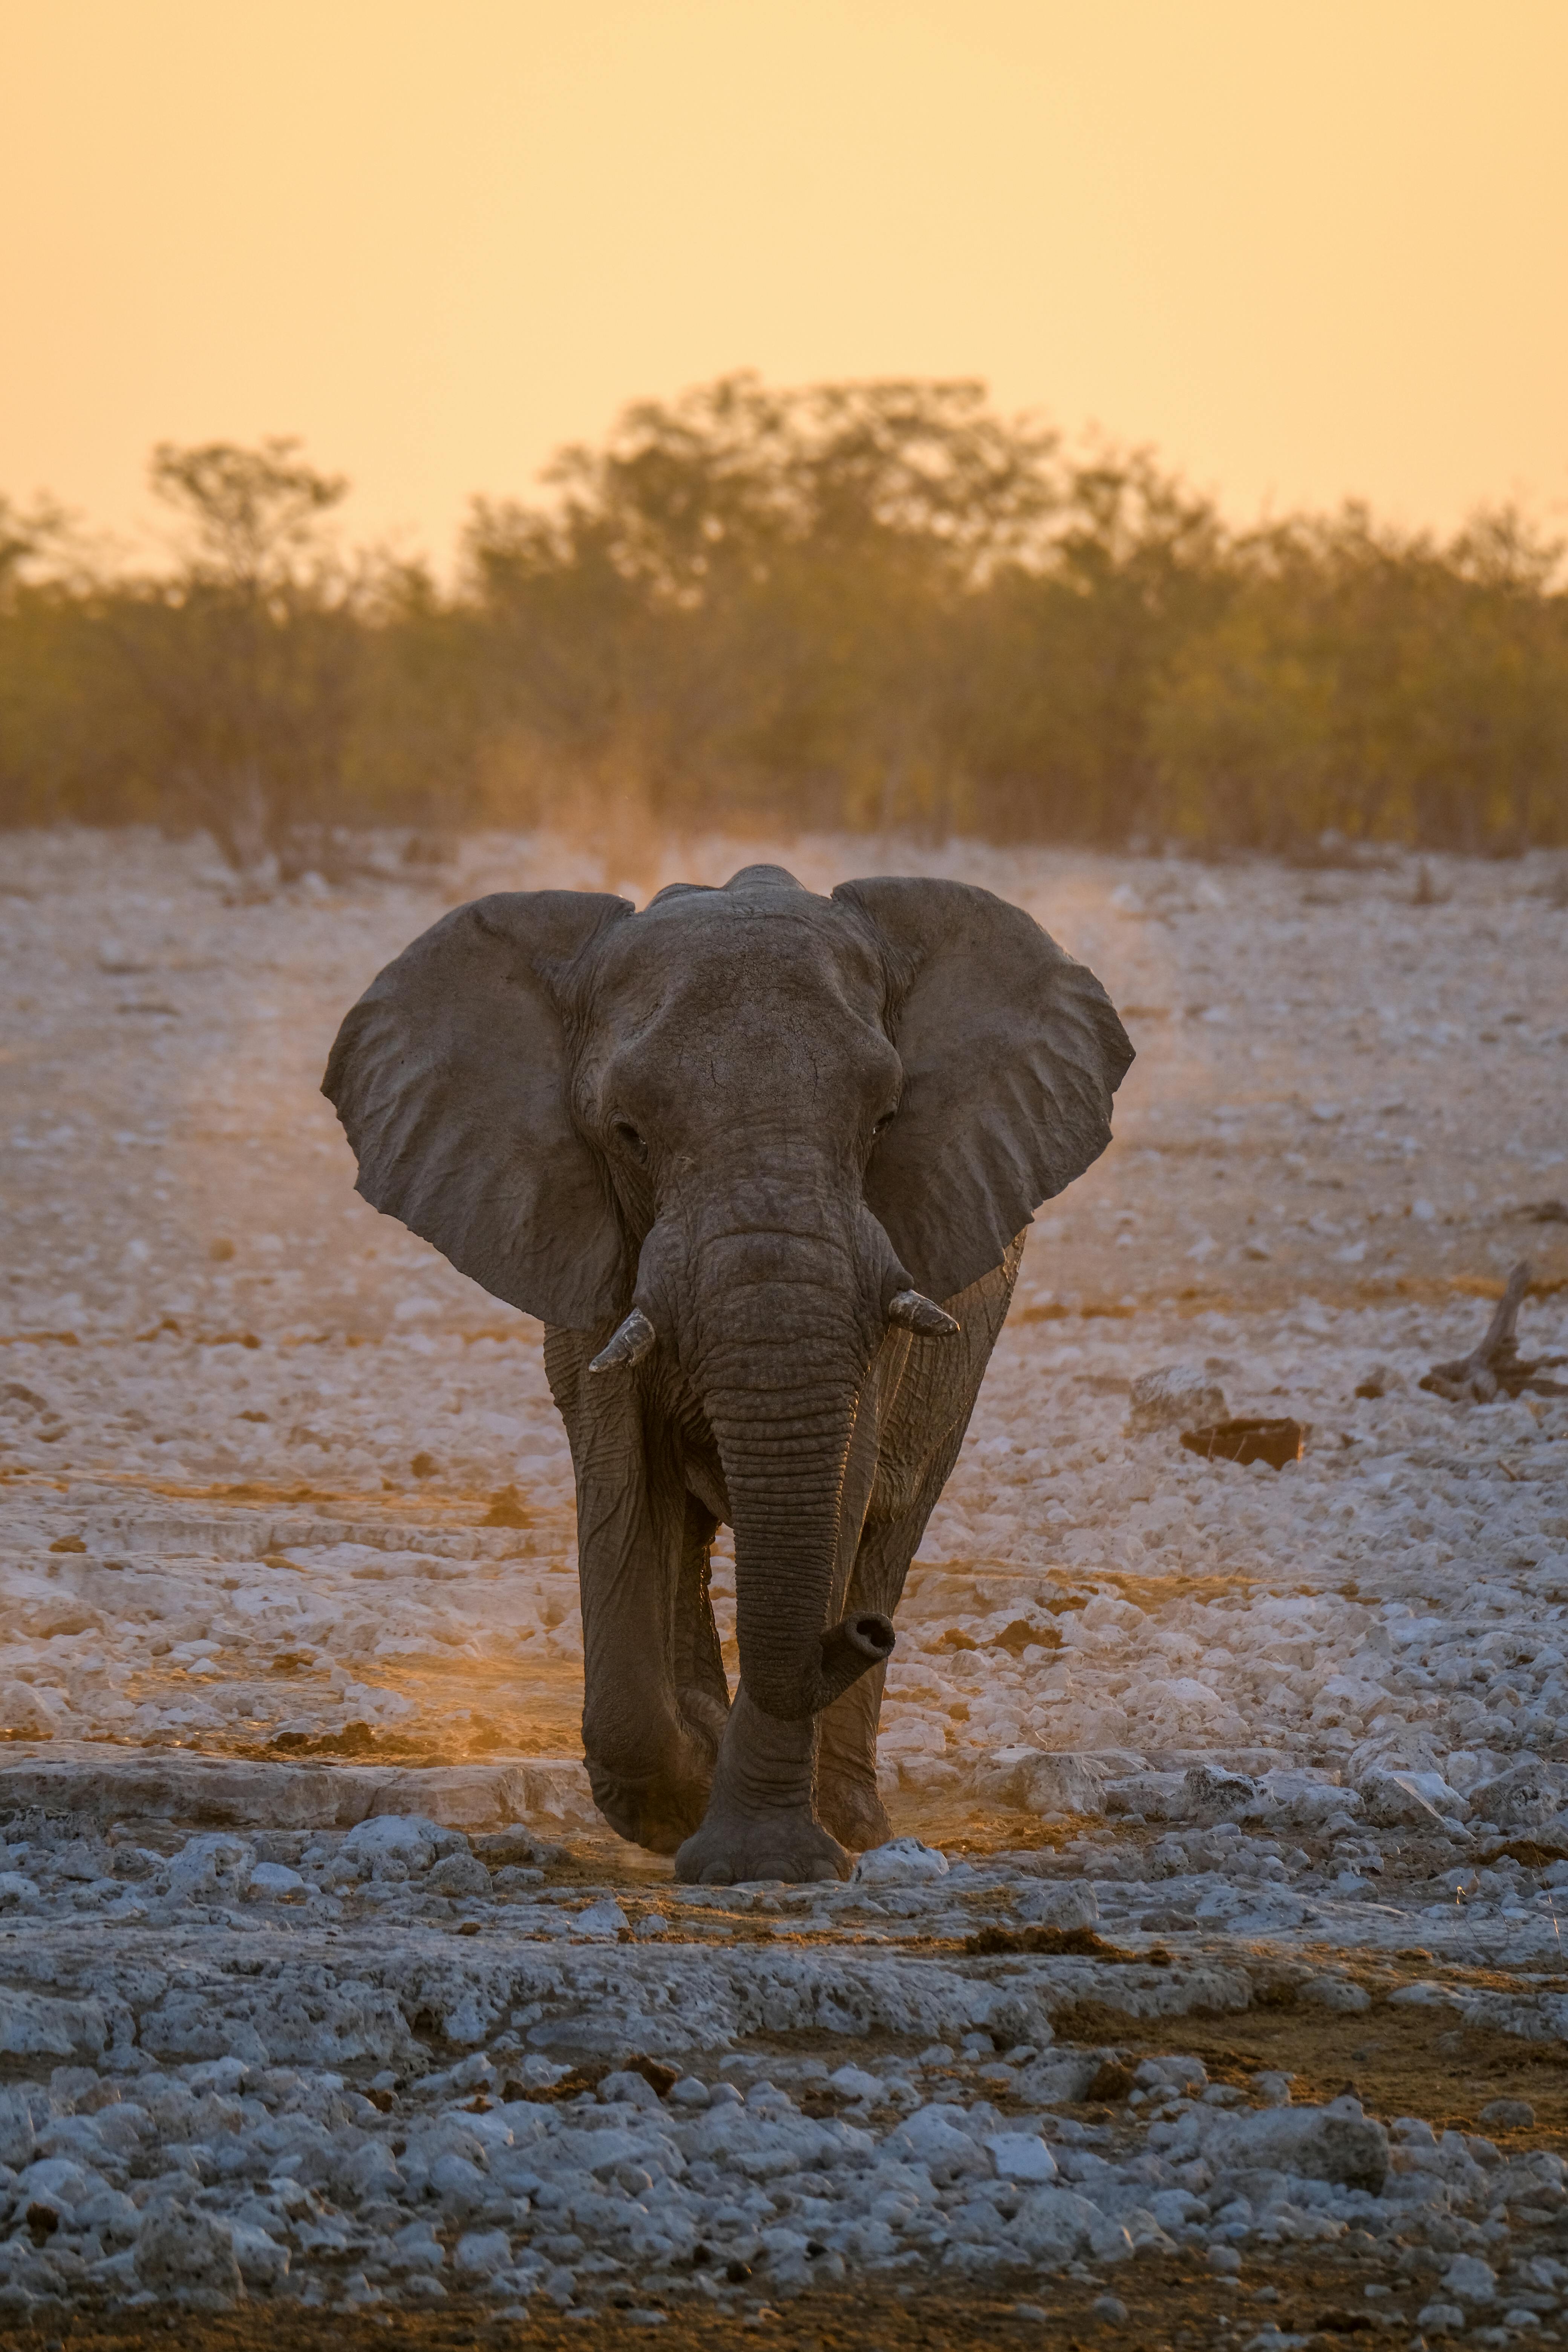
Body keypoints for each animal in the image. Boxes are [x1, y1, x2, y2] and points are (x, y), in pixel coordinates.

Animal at [322, 875, 1128, 1882]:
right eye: (627, 1134)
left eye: (883, 1123)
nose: (863, 1637)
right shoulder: (589, 1255)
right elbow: (622, 1484)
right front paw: (678, 1804)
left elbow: (841, 1486)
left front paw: (763, 1861)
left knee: (888, 1528)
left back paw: (853, 1817)